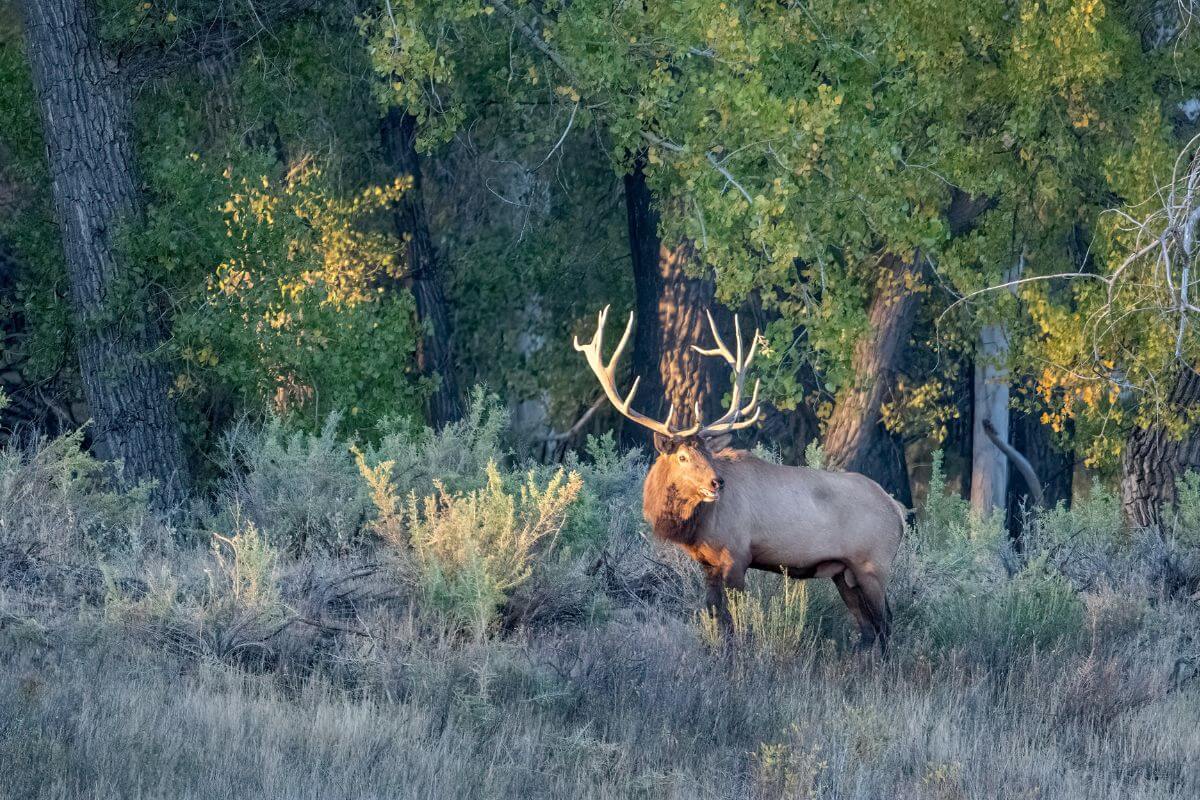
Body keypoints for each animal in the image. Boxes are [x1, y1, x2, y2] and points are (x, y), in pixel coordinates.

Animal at [576, 307, 902, 652]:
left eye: (709, 453)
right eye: (683, 456)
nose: (716, 483)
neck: (699, 526)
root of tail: (898, 512)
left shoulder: (736, 555)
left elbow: (735, 622)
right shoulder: (708, 564)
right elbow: (716, 616)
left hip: (873, 565)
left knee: (886, 624)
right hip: (844, 573)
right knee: (868, 629)